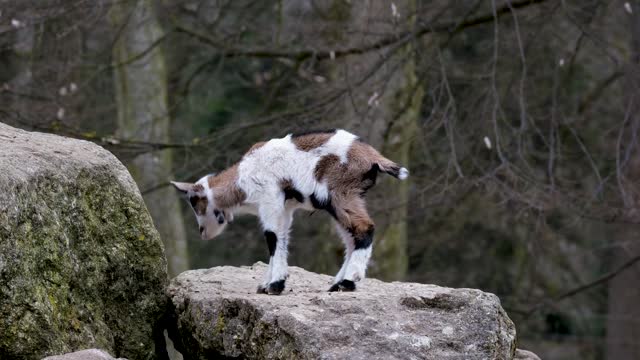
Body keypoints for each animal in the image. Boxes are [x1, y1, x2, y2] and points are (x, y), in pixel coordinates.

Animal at [171, 129, 410, 296]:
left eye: (194, 201)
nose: (202, 232)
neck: (241, 177)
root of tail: (373, 156)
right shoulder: (285, 208)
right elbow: (282, 238)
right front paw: (267, 284)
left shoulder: (270, 201)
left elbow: (272, 237)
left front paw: (275, 285)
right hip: (343, 199)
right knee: (351, 238)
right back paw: (337, 284)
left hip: (340, 193)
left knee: (363, 228)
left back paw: (348, 282)